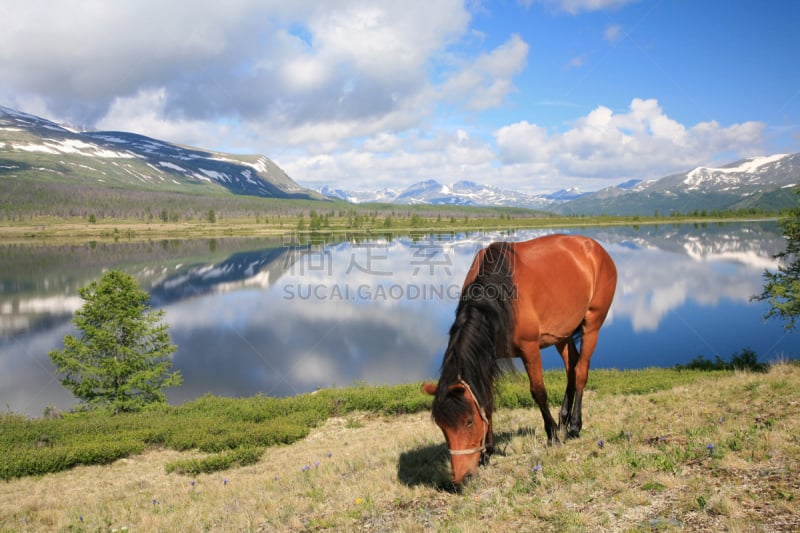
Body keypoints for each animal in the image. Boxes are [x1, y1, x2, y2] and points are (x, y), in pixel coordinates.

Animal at [424, 235, 620, 484]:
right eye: (442, 427)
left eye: (468, 421)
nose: (462, 477)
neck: (498, 296)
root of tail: (596, 248)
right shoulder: (487, 356)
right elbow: (487, 400)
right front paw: (487, 452)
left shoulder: (530, 349)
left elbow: (539, 391)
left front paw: (552, 436)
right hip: (562, 334)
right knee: (571, 366)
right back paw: (564, 419)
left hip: (592, 324)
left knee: (581, 372)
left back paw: (574, 426)